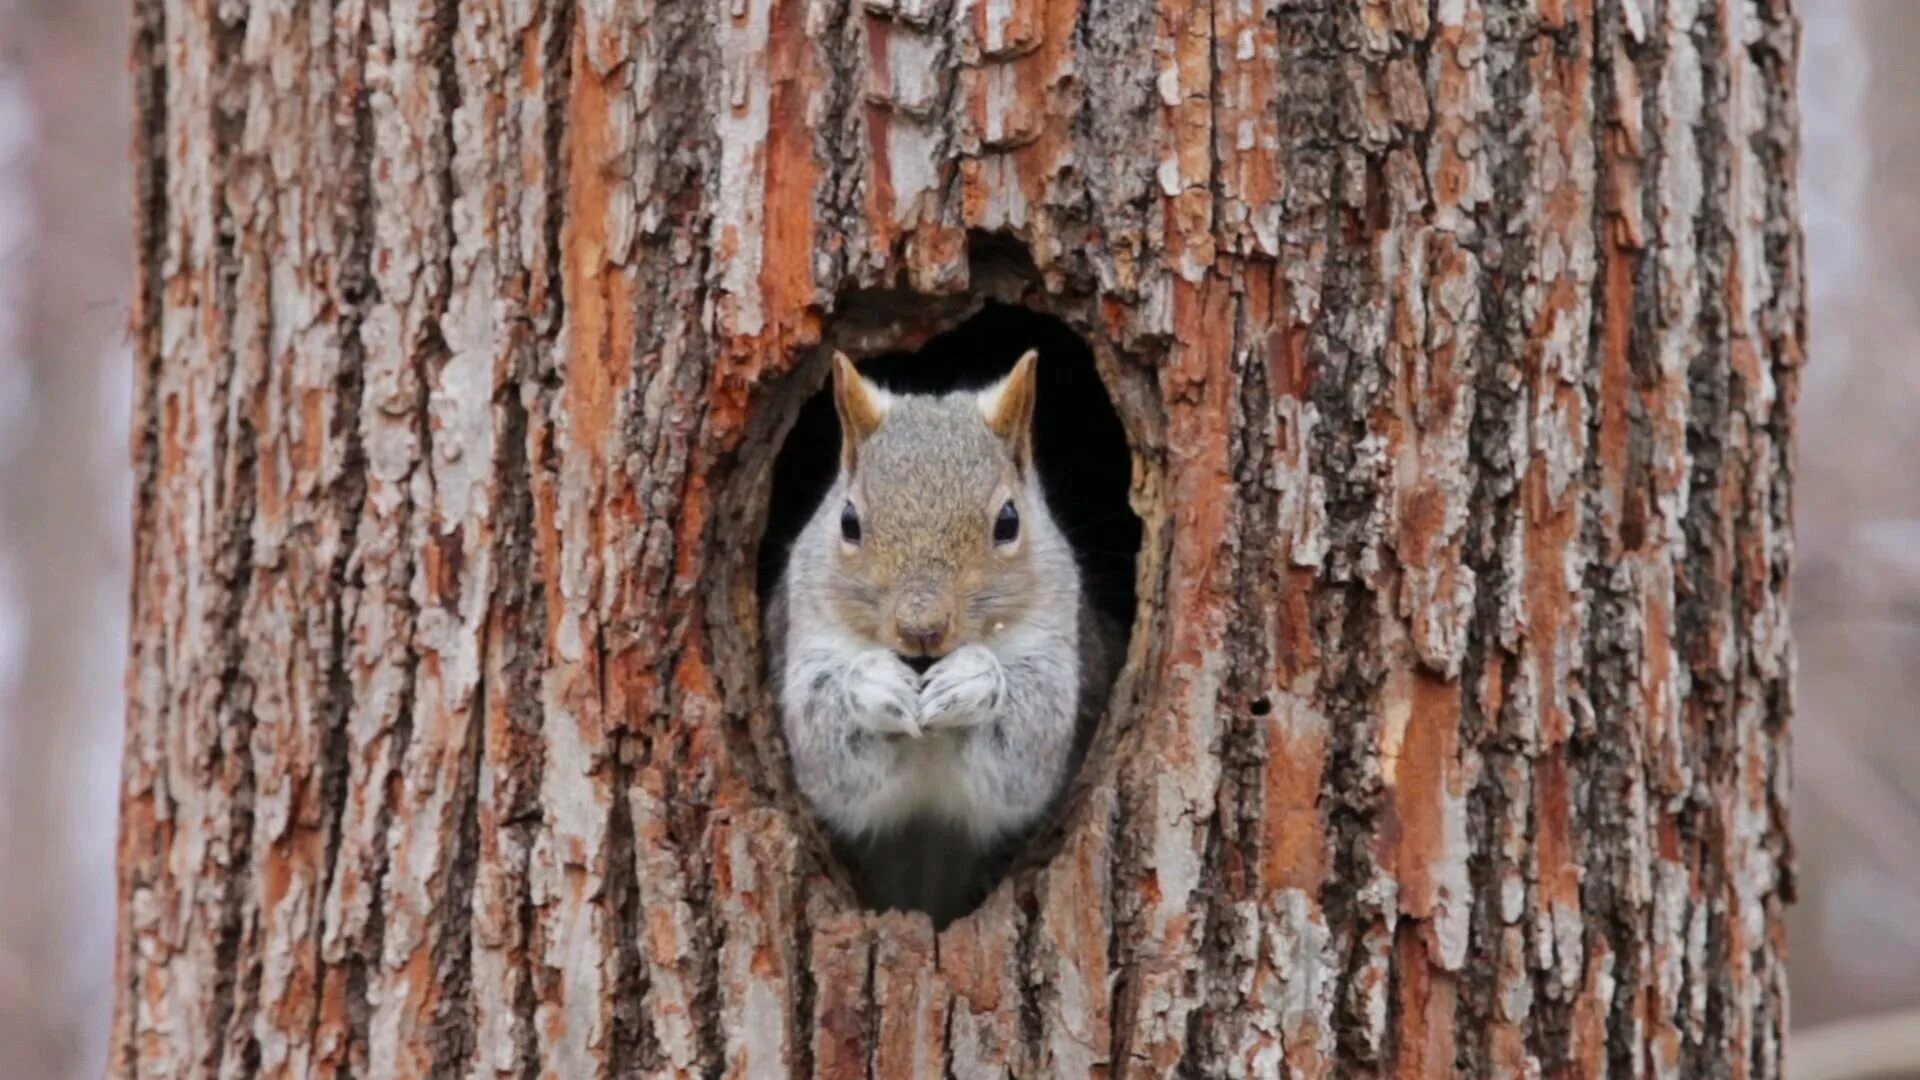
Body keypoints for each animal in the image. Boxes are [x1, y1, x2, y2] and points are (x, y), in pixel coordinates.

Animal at [764, 349, 1121, 922]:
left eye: (1008, 520)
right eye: (848, 521)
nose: (921, 628)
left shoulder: (1058, 654)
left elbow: (1026, 751)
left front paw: (974, 682)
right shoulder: (804, 641)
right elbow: (829, 751)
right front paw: (872, 685)